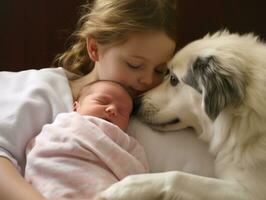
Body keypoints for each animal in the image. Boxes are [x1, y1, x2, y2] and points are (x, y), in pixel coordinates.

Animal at [96, 31, 266, 200]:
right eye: (165, 72)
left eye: (173, 79)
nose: (135, 103)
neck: (241, 119)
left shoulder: (249, 192)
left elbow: (175, 177)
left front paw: (120, 189)